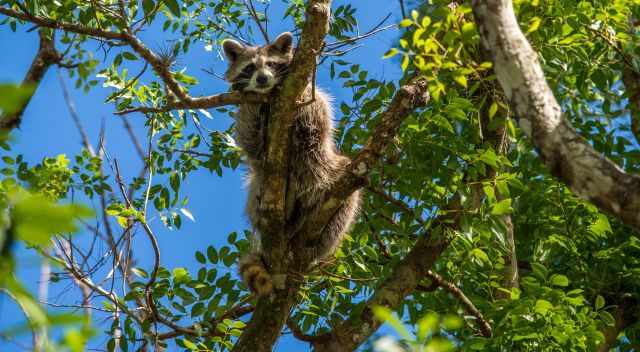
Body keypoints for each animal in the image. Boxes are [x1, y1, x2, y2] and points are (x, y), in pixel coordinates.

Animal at [221, 33, 360, 296]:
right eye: (250, 67)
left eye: (271, 64)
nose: (262, 79)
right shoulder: (249, 123)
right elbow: (250, 140)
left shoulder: (309, 98)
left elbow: (313, 113)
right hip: (261, 188)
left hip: (326, 174)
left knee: (347, 191)